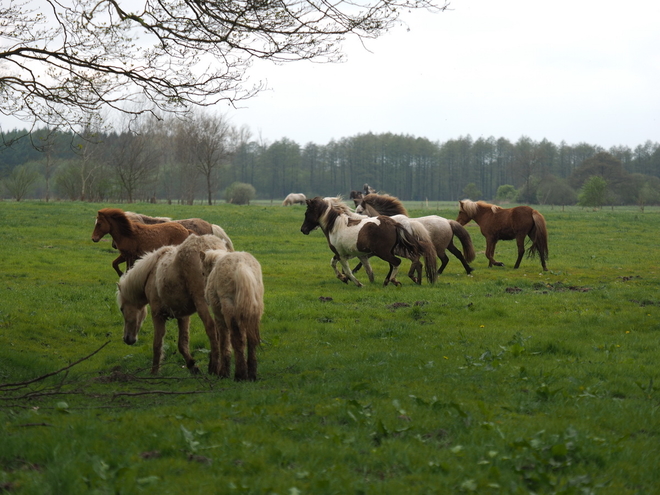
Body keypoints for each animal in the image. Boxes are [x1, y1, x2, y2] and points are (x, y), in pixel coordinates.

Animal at [116, 234, 232, 374]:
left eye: (122, 309)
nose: (127, 339)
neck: (151, 271)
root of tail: (211, 249)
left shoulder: (157, 315)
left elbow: (157, 344)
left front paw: (154, 371)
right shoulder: (183, 316)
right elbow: (182, 343)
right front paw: (192, 366)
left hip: (202, 303)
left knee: (212, 328)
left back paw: (214, 366)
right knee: (224, 332)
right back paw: (223, 369)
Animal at [200, 250, 264, 382]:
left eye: (203, 272)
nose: (205, 297)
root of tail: (241, 265)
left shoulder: (219, 318)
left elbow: (224, 341)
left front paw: (223, 373)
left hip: (230, 312)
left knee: (237, 340)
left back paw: (240, 375)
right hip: (252, 314)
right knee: (251, 341)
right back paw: (251, 375)